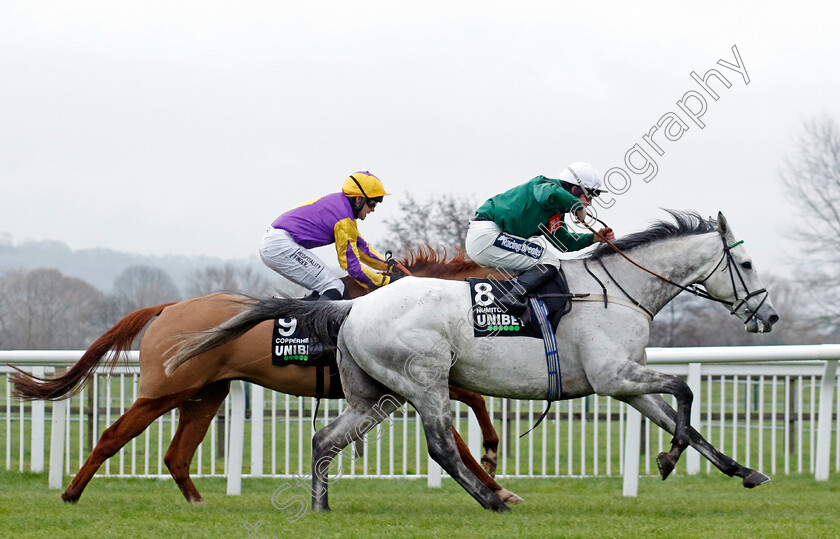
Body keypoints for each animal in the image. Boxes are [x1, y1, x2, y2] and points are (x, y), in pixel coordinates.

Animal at [9, 249, 520, 506]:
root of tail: (169, 306)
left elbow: (471, 408)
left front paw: (495, 473)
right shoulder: (412, 378)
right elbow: (467, 419)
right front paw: (495, 478)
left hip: (206, 393)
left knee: (177, 454)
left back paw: (198, 502)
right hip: (161, 392)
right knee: (113, 436)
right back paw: (71, 493)